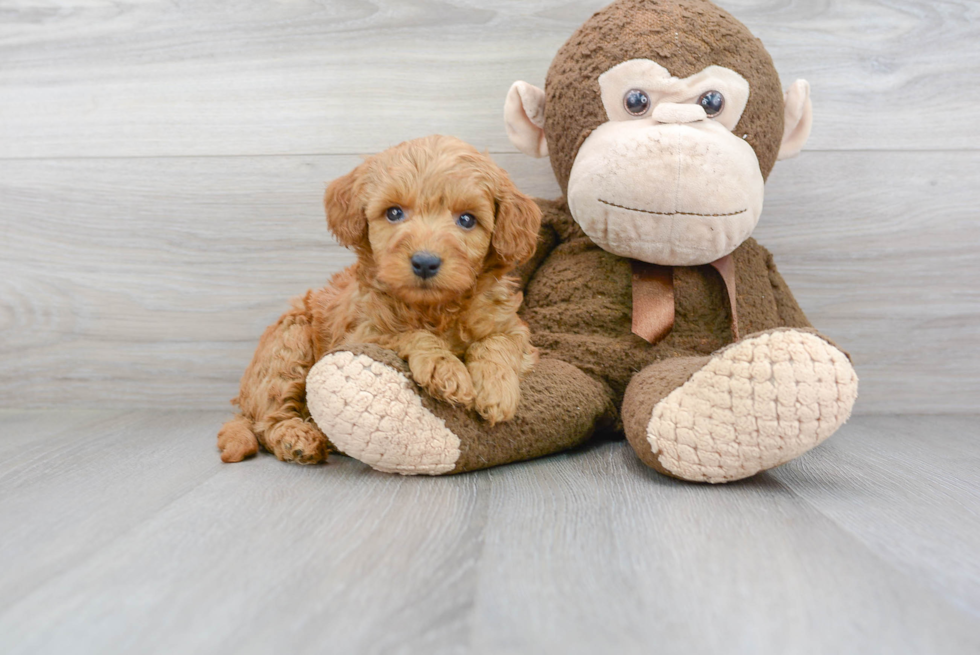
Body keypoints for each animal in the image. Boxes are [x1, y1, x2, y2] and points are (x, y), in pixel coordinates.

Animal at [216, 136, 544, 464]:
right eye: (394, 213)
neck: (436, 309)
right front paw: (444, 367)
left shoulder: (513, 328)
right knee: (268, 419)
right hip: (289, 344)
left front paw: (496, 388)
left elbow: (497, 342)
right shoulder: (362, 333)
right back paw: (297, 438)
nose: (425, 262)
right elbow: (408, 334)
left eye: (467, 219)